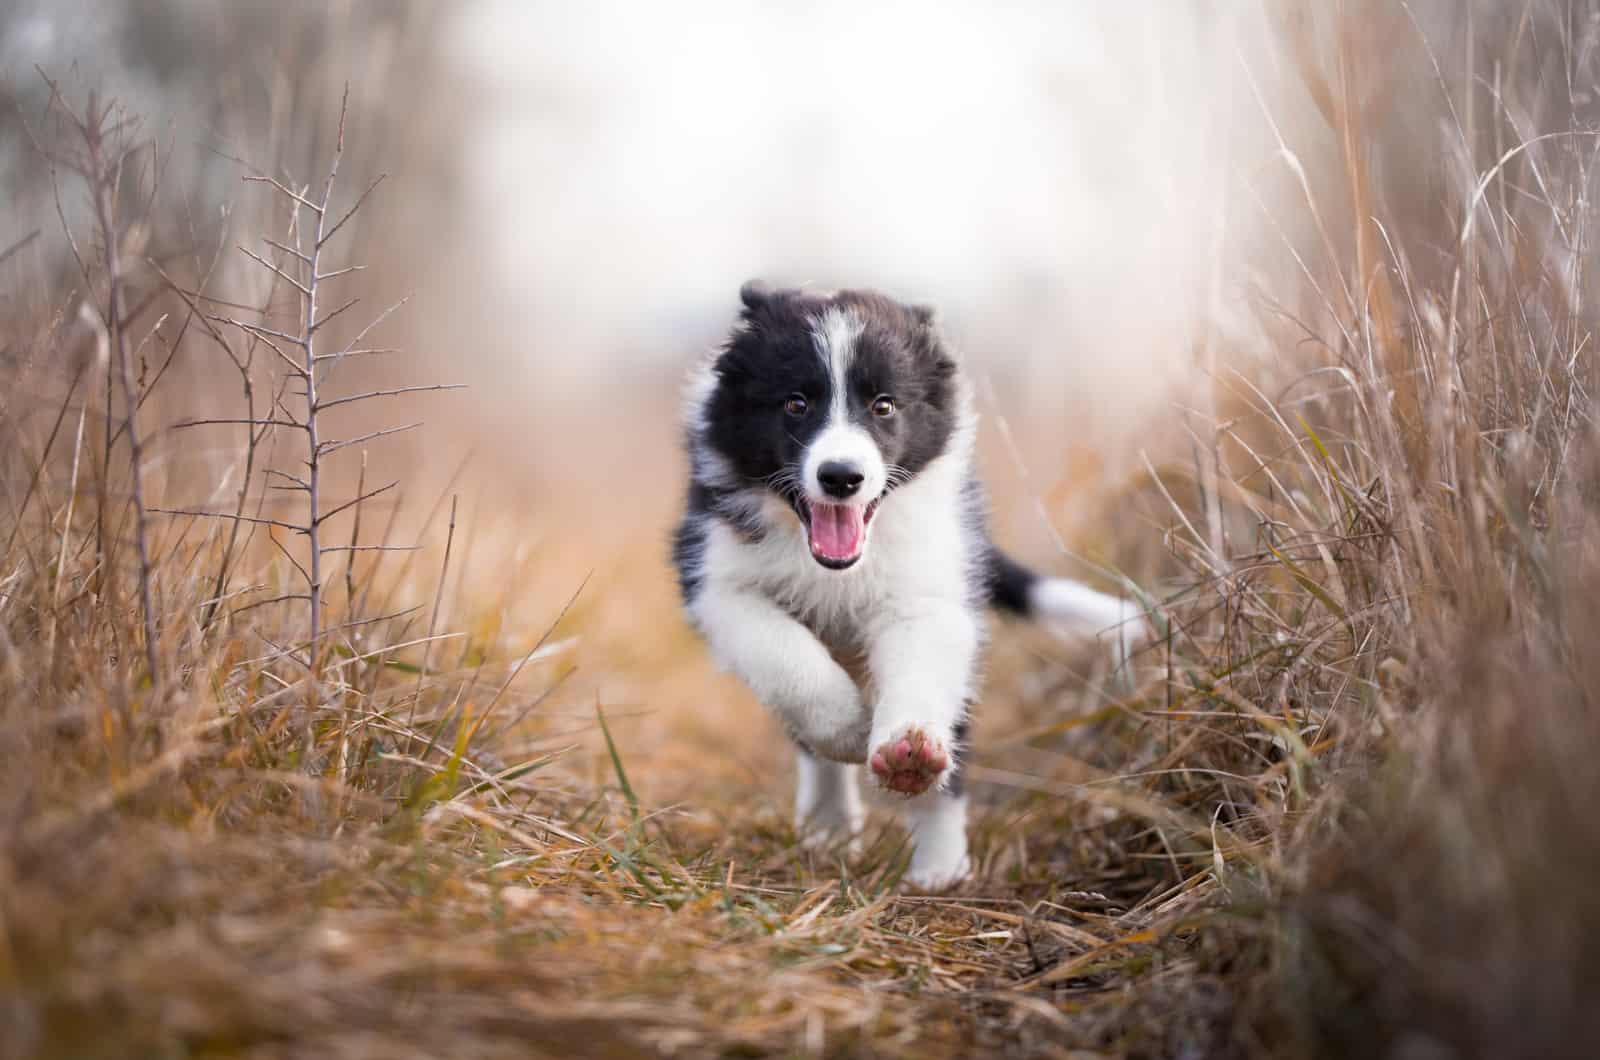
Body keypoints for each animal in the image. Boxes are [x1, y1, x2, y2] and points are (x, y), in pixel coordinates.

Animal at [675, 285, 1139, 896]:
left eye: (884, 406)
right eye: (795, 404)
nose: (841, 477)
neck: (835, 567)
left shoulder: (929, 589)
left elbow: (919, 668)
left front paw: (906, 750)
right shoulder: (714, 576)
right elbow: (787, 659)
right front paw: (848, 729)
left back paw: (939, 871)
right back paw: (828, 826)